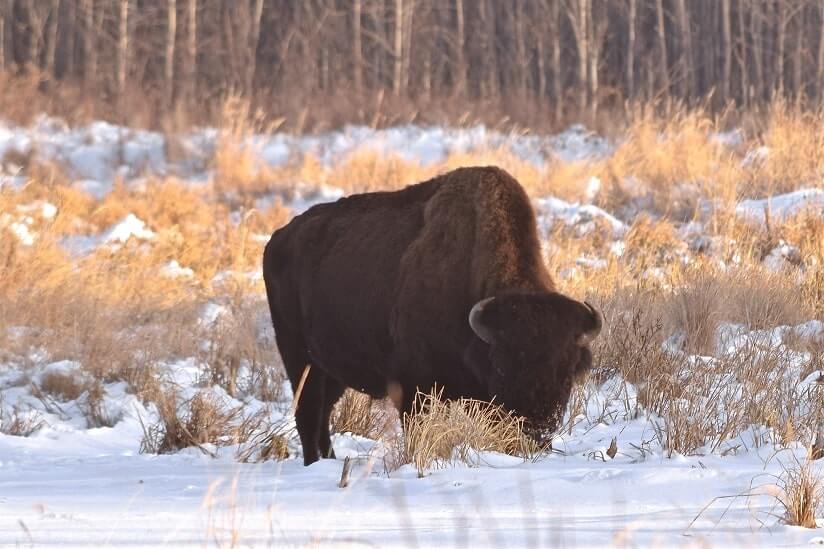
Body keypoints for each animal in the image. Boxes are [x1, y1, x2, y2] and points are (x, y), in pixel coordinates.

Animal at [264, 166, 600, 462]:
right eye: (503, 365)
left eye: (568, 368)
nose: (537, 428)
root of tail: (277, 239)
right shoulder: (415, 388)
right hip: (298, 358)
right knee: (308, 414)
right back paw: (312, 463)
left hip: (331, 370)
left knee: (323, 414)